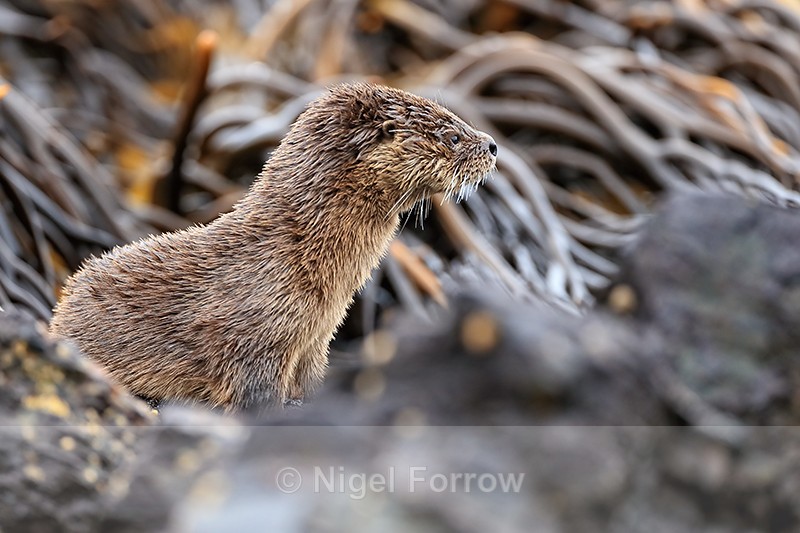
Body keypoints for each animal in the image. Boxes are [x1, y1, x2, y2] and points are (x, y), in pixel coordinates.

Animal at [49, 83, 497, 412]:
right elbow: (254, 392)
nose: (493, 145)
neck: (293, 254)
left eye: (457, 120)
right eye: (453, 135)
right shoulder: (251, 341)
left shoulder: (316, 343)